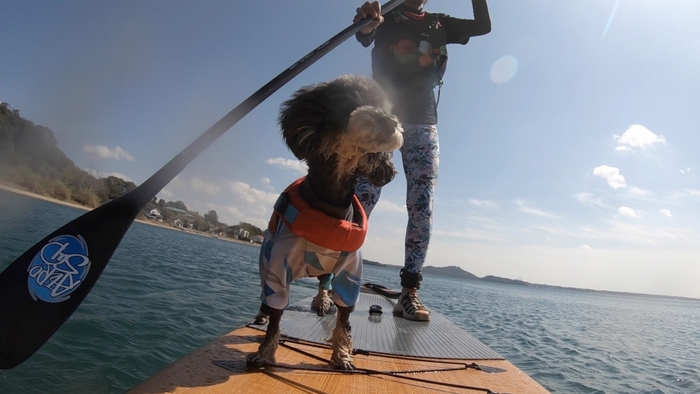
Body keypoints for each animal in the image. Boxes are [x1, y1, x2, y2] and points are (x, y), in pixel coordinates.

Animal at [246, 75, 402, 370]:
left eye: (388, 106)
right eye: (350, 100)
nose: (390, 122)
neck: (331, 200)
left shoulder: (350, 273)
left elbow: (345, 318)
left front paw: (341, 355)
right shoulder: (278, 269)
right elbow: (275, 316)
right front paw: (265, 354)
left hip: (329, 268)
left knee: (323, 282)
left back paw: (322, 300)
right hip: (266, 258)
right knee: (265, 298)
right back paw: (261, 314)